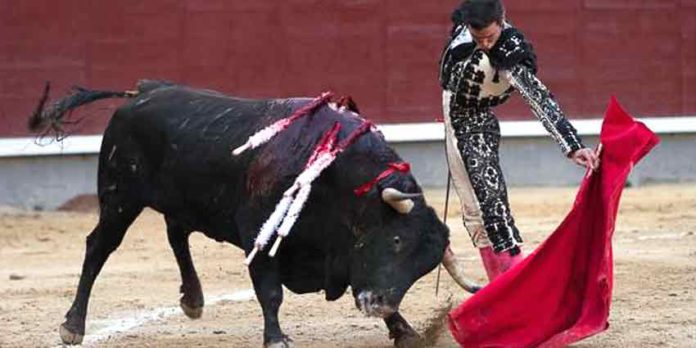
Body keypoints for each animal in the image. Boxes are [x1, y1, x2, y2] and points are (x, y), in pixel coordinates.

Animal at [31, 81, 478, 348]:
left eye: (424, 267)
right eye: (397, 240)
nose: (380, 305)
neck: (338, 179)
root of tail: (142, 91)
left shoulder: (347, 253)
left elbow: (358, 278)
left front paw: (403, 329)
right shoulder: (260, 234)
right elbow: (271, 290)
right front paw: (276, 338)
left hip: (179, 199)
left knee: (176, 234)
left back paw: (193, 299)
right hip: (119, 198)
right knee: (98, 247)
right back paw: (73, 325)